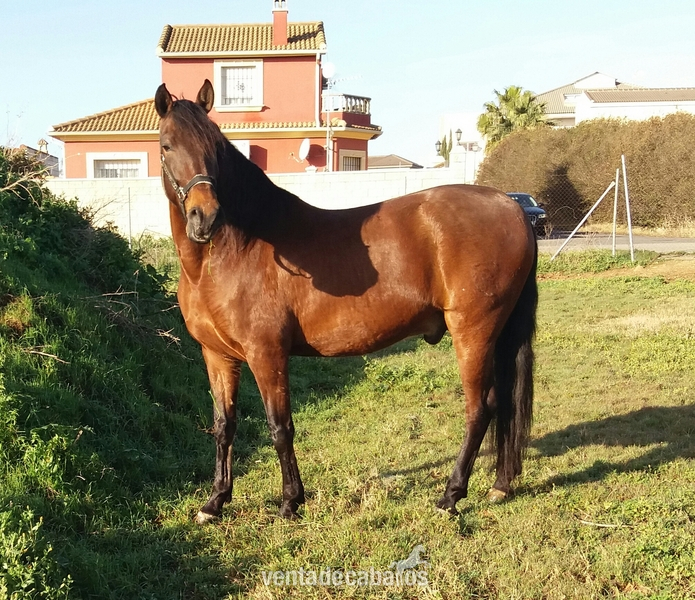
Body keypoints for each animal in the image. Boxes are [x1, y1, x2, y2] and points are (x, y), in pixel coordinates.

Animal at [154, 79, 538, 524]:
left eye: (215, 147)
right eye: (166, 145)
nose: (206, 217)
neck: (234, 250)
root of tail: (510, 206)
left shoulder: (266, 354)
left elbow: (279, 427)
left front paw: (290, 501)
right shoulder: (217, 355)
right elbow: (223, 426)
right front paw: (215, 502)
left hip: (474, 332)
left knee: (481, 408)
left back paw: (450, 495)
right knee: (503, 405)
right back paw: (499, 485)